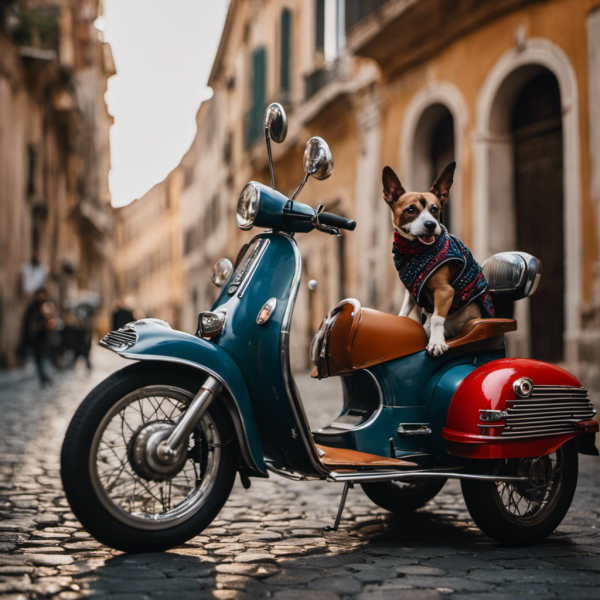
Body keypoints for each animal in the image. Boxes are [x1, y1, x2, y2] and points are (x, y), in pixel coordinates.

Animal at [384, 161, 492, 356]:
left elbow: (436, 318)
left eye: (435, 209)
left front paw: (436, 343)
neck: (413, 251)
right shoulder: (412, 290)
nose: (431, 224)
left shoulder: (444, 291)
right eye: (411, 210)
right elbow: (404, 311)